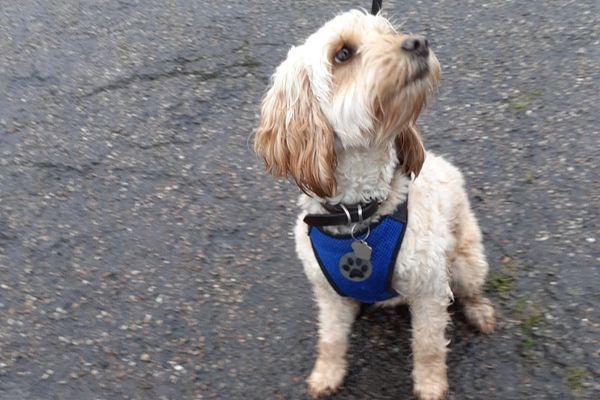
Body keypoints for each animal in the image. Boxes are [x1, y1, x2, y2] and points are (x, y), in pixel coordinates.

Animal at [253, 9, 496, 400]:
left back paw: (480, 311)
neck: (360, 213)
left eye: (389, 32)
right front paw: (327, 373)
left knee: (469, 291)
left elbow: (428, 346)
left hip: (464, 263)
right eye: (342, 54)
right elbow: (331, 339)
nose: (419, 42)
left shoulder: (429, 289)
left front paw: (430, 385)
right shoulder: (328, 293)